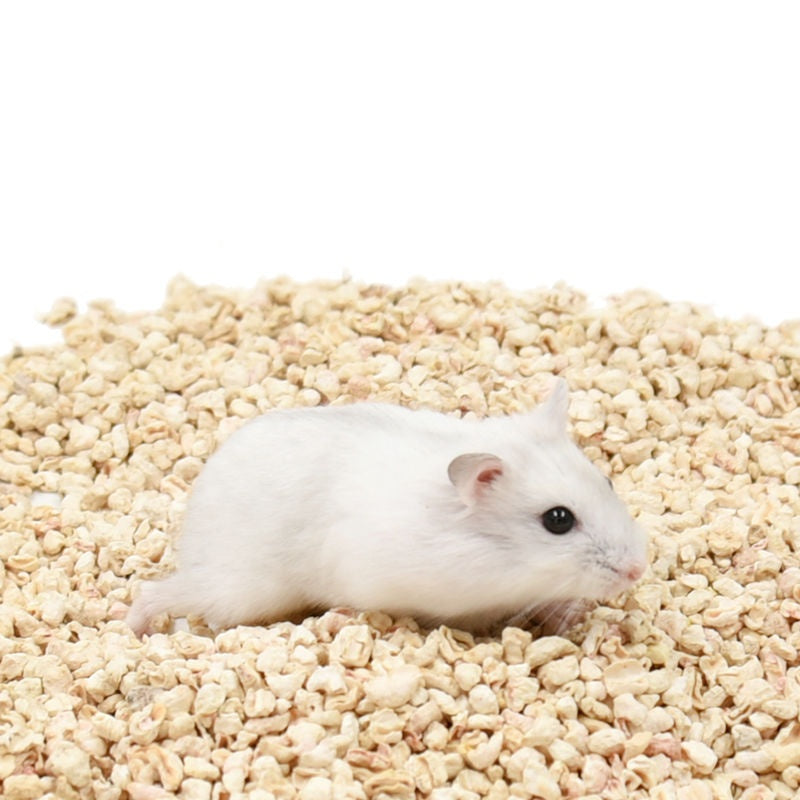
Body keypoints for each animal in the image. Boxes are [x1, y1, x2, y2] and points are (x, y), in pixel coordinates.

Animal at [126, 378, 648, 636]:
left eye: (607, 481)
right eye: (558, 520)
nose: (637, 571)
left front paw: (573, 615)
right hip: (239, 590)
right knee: (158, 592)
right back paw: (135, 628)